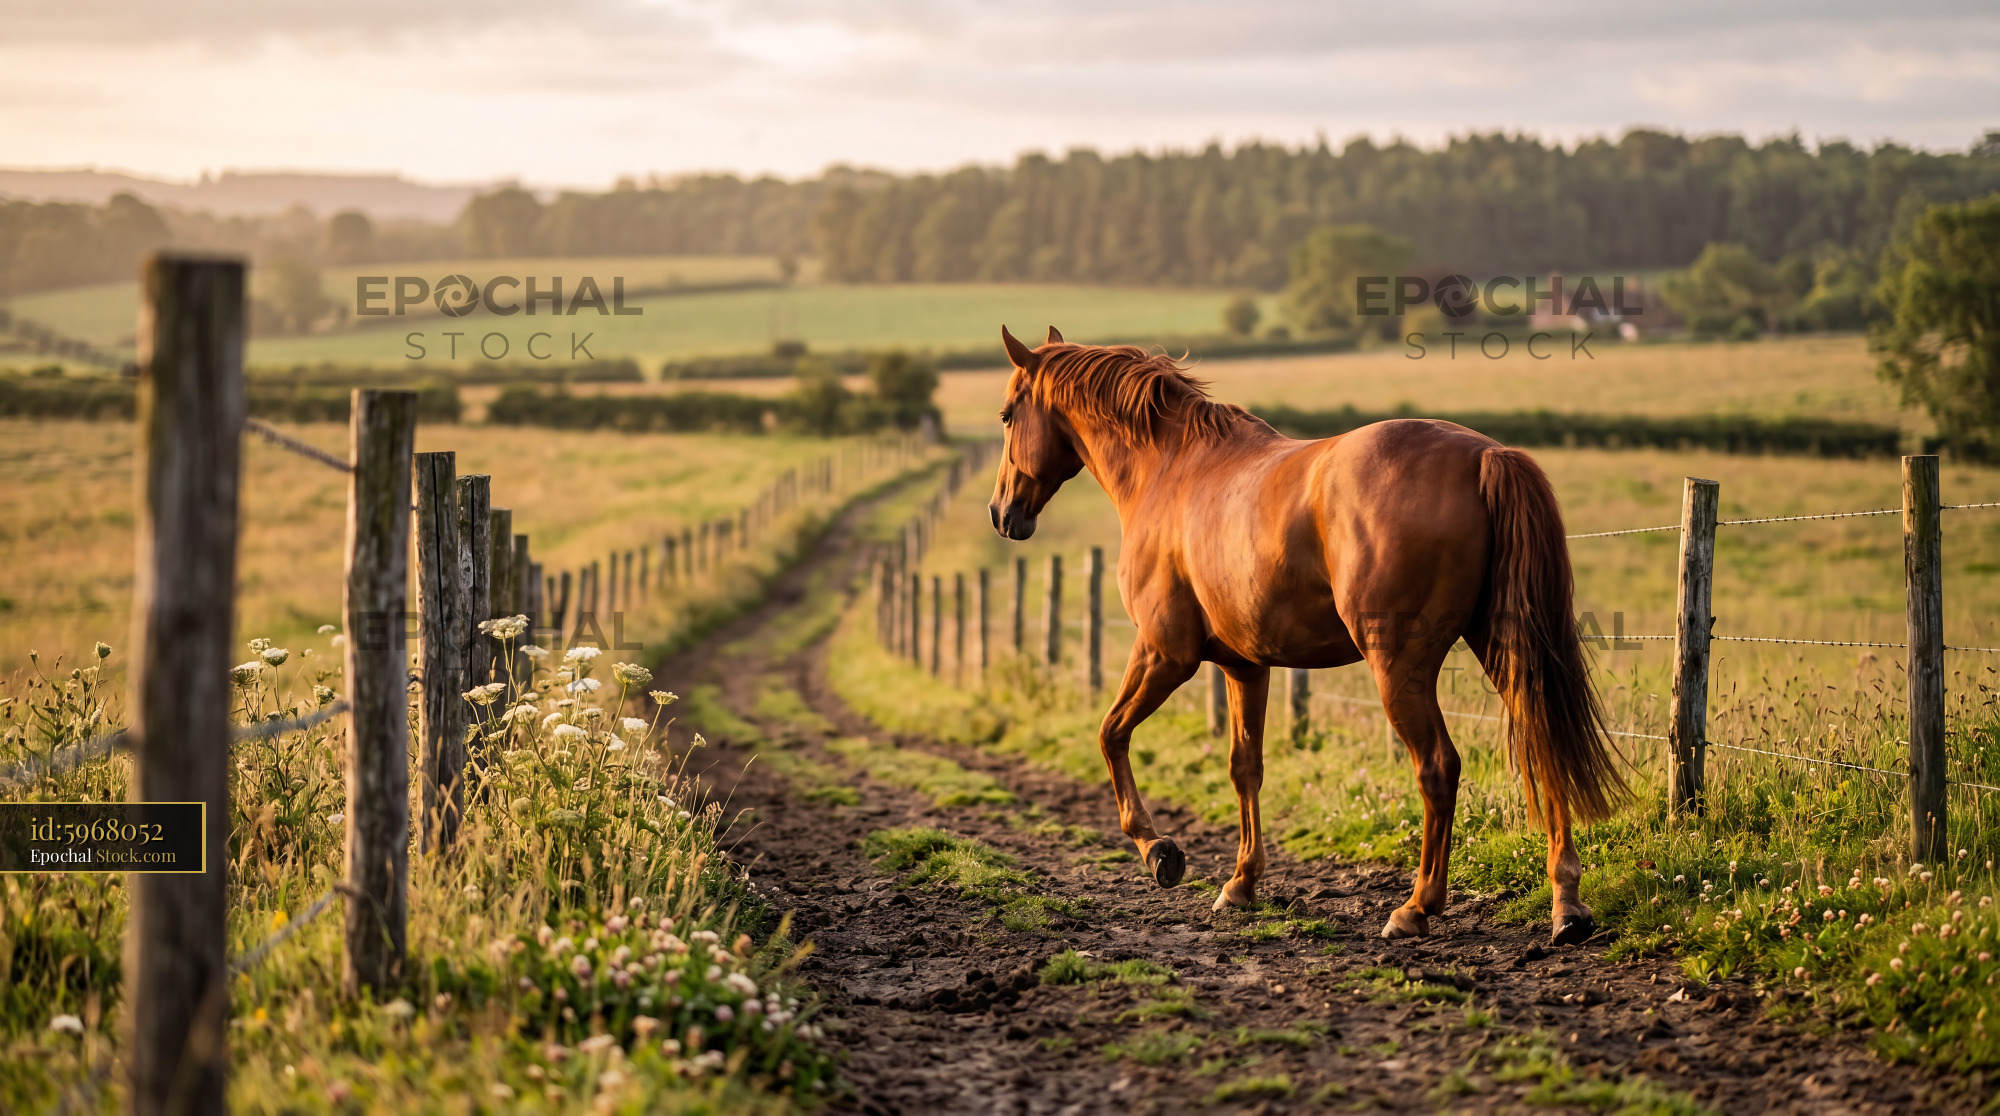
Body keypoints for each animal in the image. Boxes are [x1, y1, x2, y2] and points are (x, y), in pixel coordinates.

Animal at [985, 326, 1625, 944]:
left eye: (1008, 415)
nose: (1000, 513)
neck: (1171, 470)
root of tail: (1484, 455)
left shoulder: (1165, 652)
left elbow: (1111, 734)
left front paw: (1160, 853)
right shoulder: (1244, 666)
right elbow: (1245, 767)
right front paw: (1240, 884)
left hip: (1399, 667)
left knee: (1439, 767)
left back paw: (1416, 908)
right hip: (1504, 649)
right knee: (1541, 743)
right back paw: (1567, 907)